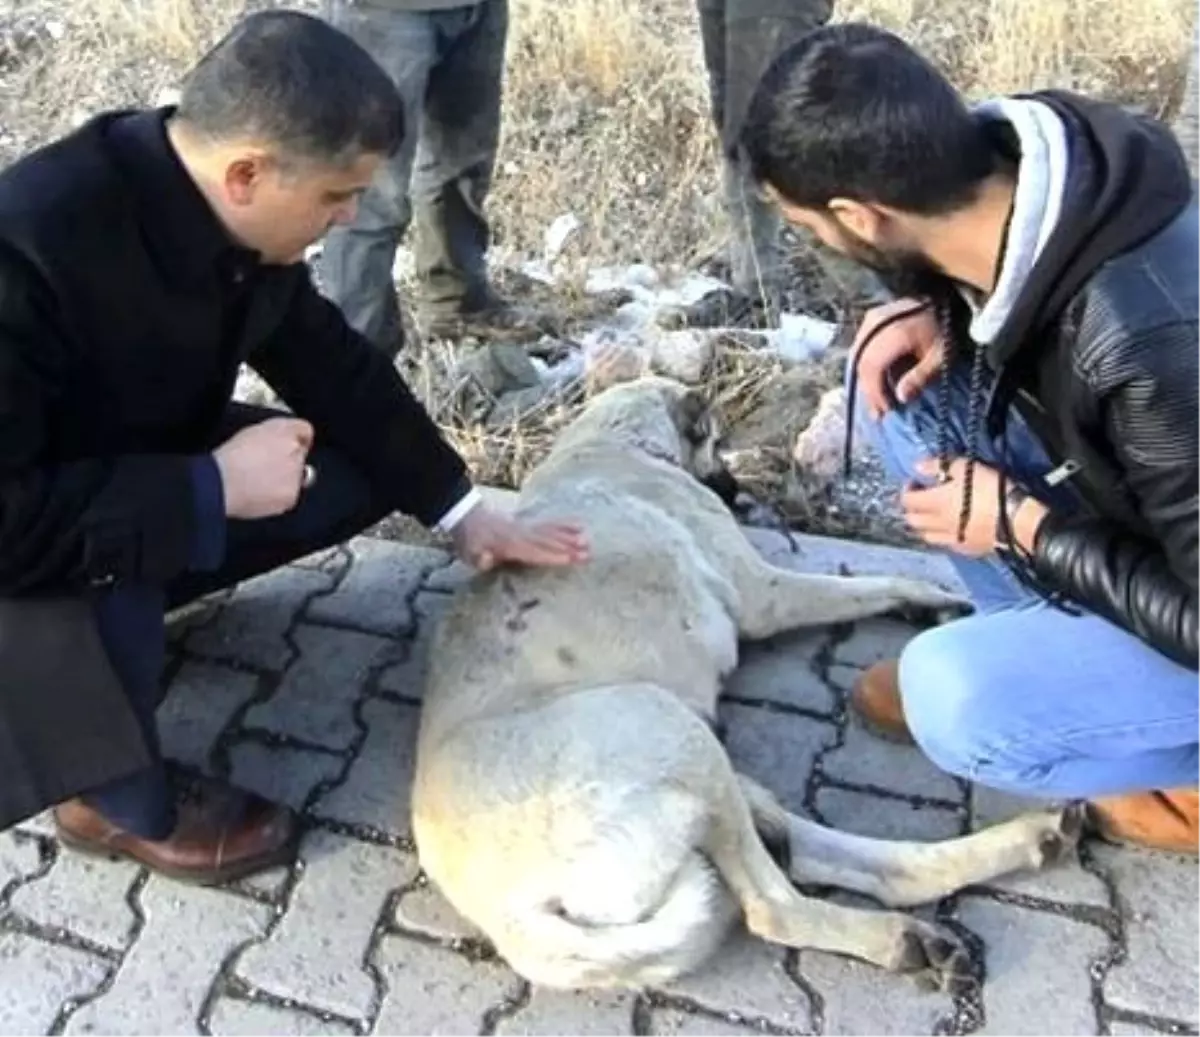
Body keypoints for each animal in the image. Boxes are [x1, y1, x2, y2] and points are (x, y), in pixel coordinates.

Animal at [410, 374, 1080, 998]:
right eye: (717, 443)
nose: (738, 493)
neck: (612, 442)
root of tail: (513, 918)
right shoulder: (766, 594)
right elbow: (868, 584)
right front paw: (926, 595)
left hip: (709, 772)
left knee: (848, 859)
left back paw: (1026, 846)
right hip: (672, 729)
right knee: (773, 905)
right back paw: (898, 937)